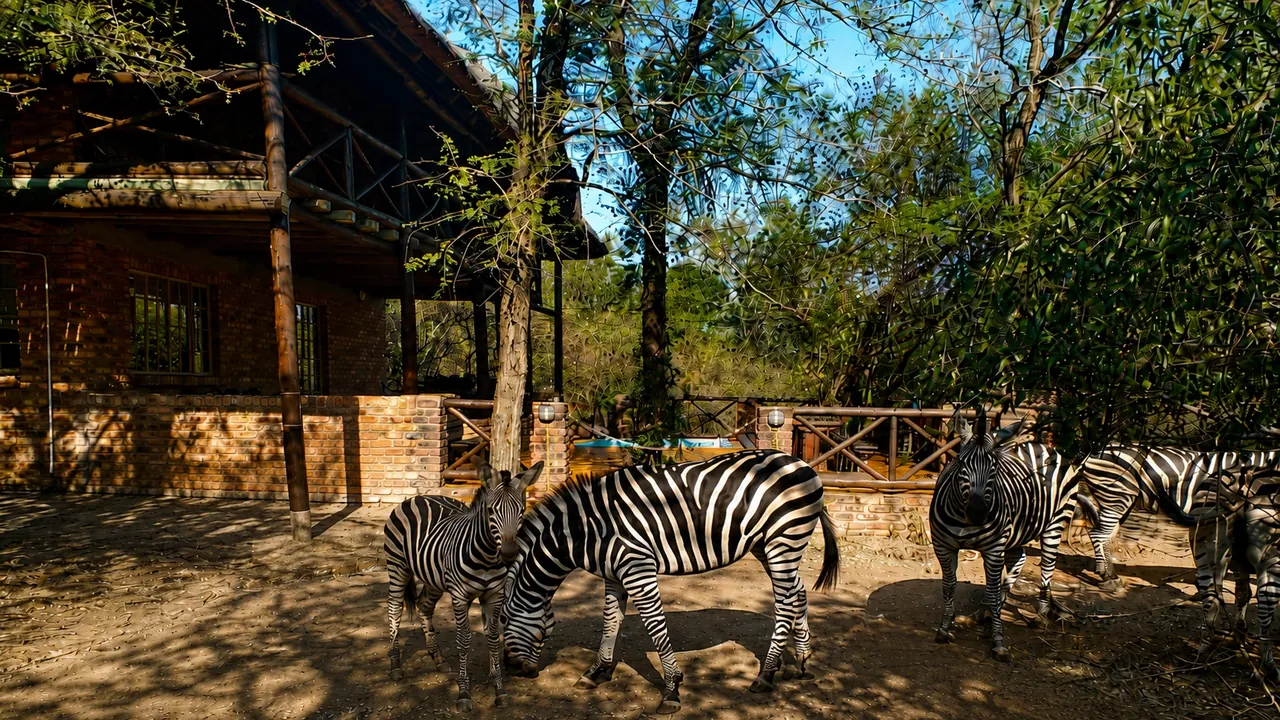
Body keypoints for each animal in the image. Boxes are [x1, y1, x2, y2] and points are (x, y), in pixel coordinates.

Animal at [383, 461, 543, 712]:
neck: (487, 557)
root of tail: (418, 497)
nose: (509, 556)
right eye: (491, 511)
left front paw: (499, 689)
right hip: (397, 566)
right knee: (394, 610)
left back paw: (438, 658)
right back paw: (395, 665)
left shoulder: (494, 595)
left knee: (424, 606)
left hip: (433, 577)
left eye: (521, 511)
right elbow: (464, 640)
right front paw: (464, 693)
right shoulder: (460, 596)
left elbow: (493, 638)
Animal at [500, 449, 840, 715]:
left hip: (784, 539)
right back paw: (802, 661)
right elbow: (610, 621)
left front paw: (672, 689)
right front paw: (598, 672)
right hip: (766, 545)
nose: (511, 670)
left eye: (503, 621)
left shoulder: (637, 568)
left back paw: (766, 674)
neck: (587, 531)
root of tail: (800, 462)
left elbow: (655, 626)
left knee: (786, 602)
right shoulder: (613, 574)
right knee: (798, 593)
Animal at [930, 412, 1082, 661]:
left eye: (995, 467)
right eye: (960, 463)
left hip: (1055, 522)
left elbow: (991, 589)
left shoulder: (993, 549)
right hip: (1017, 532)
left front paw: (998, 640)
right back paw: (986, 613)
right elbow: (949, 585)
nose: (977, 512)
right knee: (1019, 560)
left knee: (1047, 568)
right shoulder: (943, 546)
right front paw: (945, 627)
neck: (963, 519)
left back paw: (1039, 615)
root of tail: (1044, 446)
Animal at [1078, 447, 1279, 589]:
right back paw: (1106, 576)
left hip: (1118, 499)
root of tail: (1091, 454)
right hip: (1117, 495)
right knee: (1098, 534)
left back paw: (1111, 575)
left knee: (1106, 535)